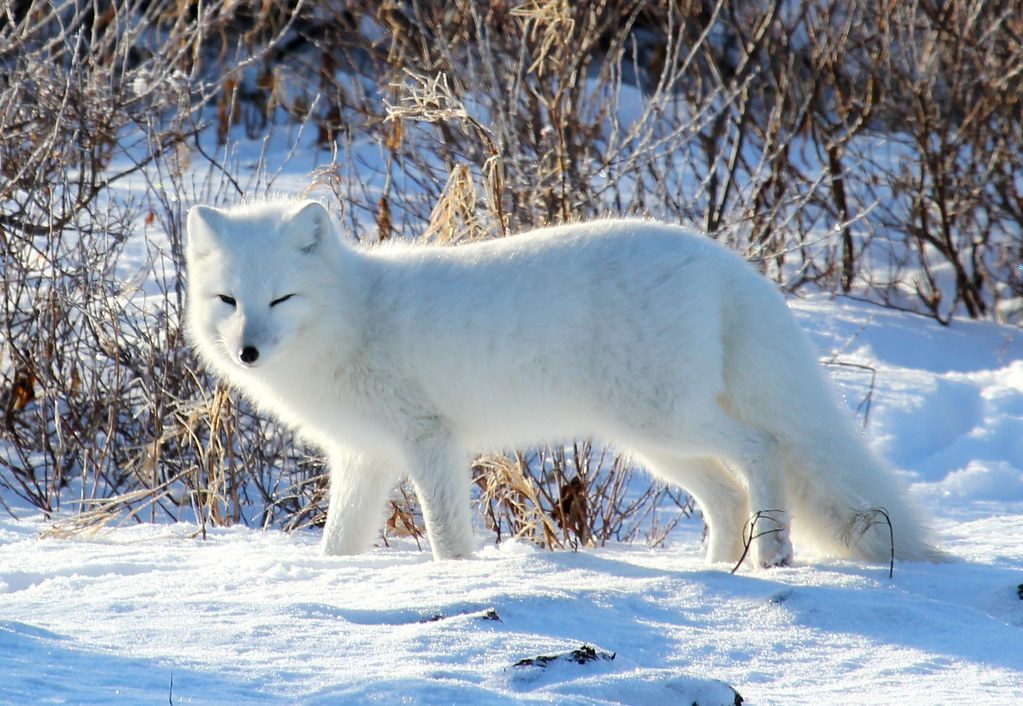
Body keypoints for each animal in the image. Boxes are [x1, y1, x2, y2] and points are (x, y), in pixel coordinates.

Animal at [184, 198, 941, 567]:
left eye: (281, 299)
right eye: (229, 300)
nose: (248, 351)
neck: (353, 316)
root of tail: (722, 261)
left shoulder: (430, 441)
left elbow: (445, 533)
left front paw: (455, 580)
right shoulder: (364, 456)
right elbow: (338, 541)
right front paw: (328, 579)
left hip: (664, 422)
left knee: (763, 449)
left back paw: (774, 553)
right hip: (653, 441)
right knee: (726, 495)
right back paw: (710, 573)